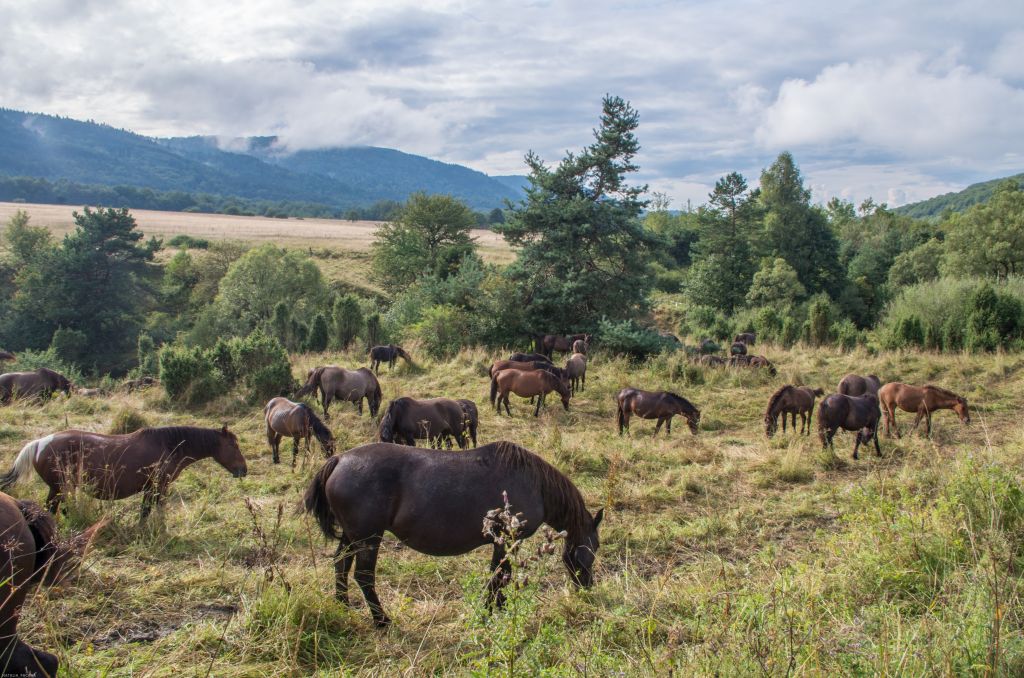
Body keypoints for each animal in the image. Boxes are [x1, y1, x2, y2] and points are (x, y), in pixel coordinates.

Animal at [0, 426, 246, 520]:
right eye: (233, 445)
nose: (244, 469)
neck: (167, 445)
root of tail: (40, 442)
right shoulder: (157, 486)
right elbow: (152, 510)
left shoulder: (151, 488)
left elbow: (147, 511)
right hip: (59, 487)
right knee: (53, 507)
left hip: (59, 488)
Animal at [299, 444, 602, 630]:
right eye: (593, 548)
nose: (587, 587)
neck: (535, 483)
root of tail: (339, 460)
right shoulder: (506, 541)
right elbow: (500, 577)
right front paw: (494, 612)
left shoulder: (500, 543)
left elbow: (497, 576)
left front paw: (494, 609)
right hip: (368, 537)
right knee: (363, 576)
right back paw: (382, 621)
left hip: (352, 536)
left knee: (340, 564)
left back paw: (343, 605)